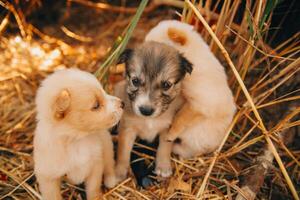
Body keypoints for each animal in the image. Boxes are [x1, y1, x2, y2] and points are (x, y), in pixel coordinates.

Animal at [34, 69, 123, 200]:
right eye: (96, 105)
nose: (123, 103)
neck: (75, 140)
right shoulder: (48, 177)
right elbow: (53, 196)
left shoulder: (95, 165)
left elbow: (93, 189)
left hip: (107, 145)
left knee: (109, 163)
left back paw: (110, 180)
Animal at [112, 41, 192, 179]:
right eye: (135, 81)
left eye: (166, 85)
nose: (146, 110)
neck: (149, 120)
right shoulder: (127, 129)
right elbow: (123, 151)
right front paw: (119, 171)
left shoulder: (167, 128)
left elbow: (165, 147)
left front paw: (163, 166)